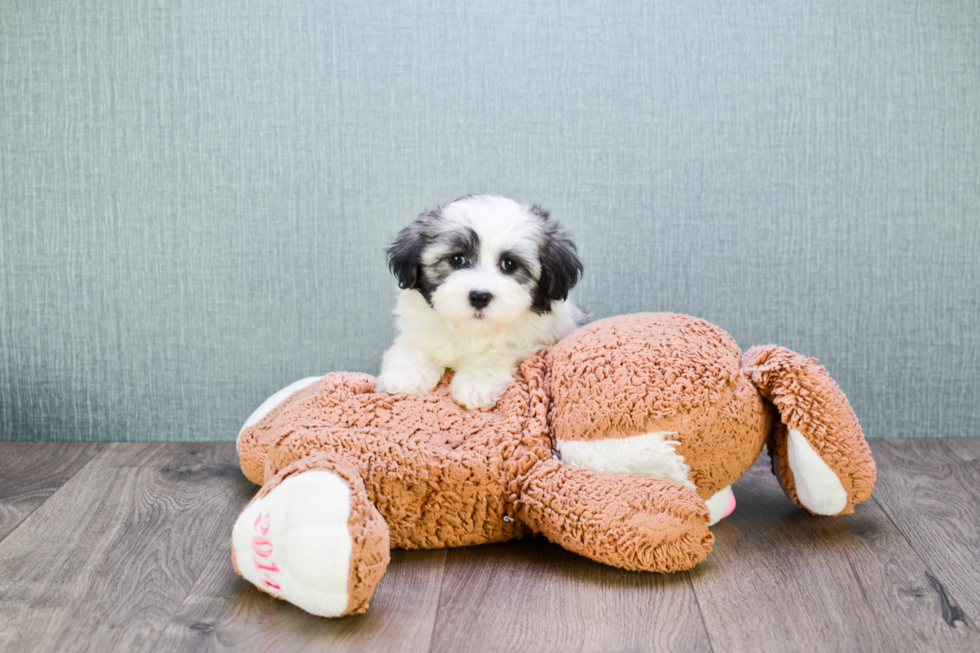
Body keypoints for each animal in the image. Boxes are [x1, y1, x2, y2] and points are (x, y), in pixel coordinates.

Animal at [376, 194, 584, 408]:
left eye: (509, 264)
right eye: (457, 259)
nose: (479, 296)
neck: (471, 330)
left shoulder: (534, 340)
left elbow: (497, 351)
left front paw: (476, 382)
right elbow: (415, 345)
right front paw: (405, 374)